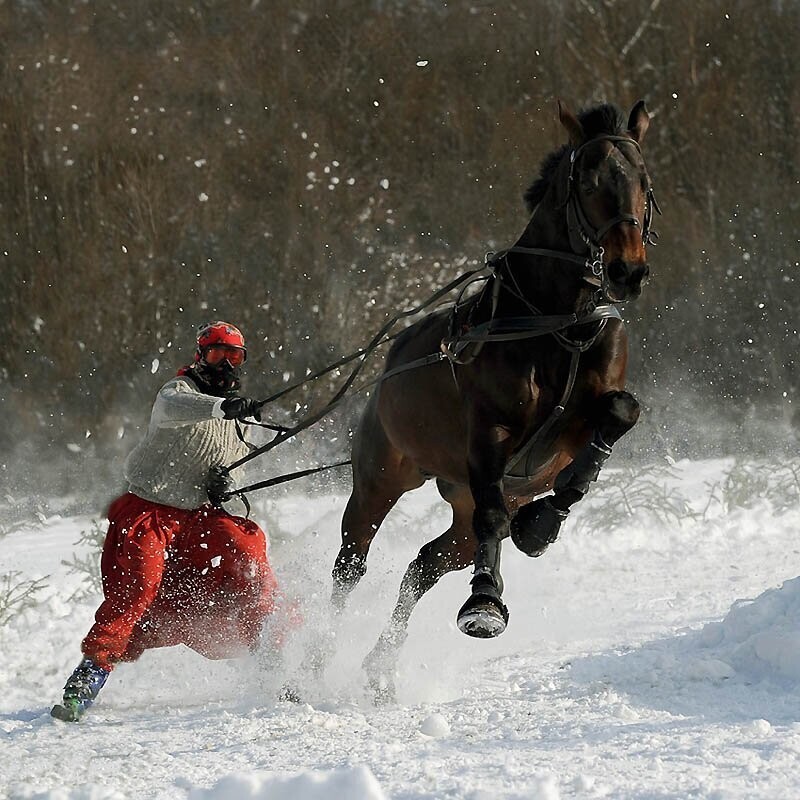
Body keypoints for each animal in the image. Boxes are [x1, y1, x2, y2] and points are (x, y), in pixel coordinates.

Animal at [328, 100, 660, 700]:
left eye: (644, 183)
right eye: (590, 181)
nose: (628, 270)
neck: (559, 322)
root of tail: (389, 361)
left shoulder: (577, 424)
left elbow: (619, 414)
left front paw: (543, 522)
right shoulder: (490, 434)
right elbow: (493, 518)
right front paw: (484, 603)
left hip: (457, 508)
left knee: (425, 564)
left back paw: (380, 666)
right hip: (382, 477)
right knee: (351, 566)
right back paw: (307, 666)